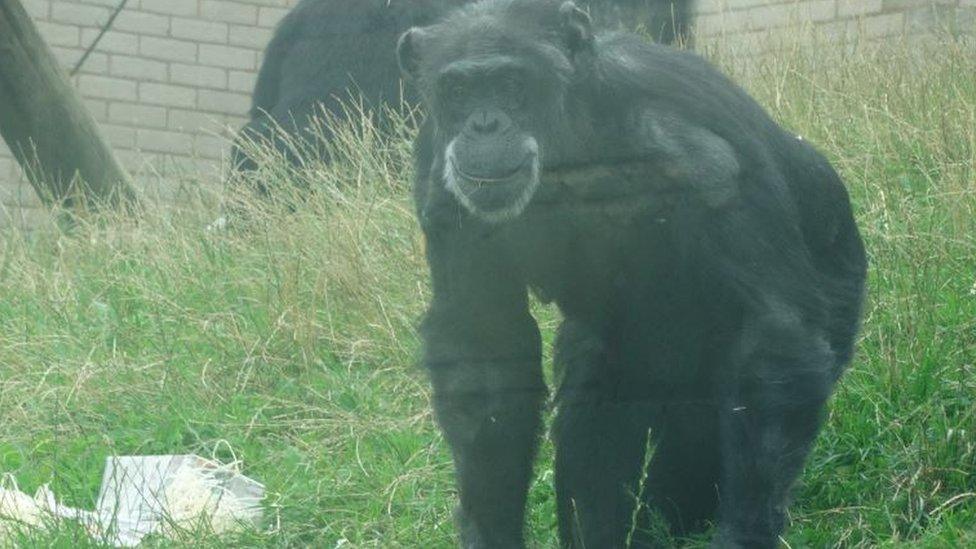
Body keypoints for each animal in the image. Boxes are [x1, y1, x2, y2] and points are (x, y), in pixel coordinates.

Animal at [392, 1, 864, 548]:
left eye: (511, 84)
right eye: (459, 91)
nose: (484, 124)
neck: (569, 147)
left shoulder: (706, 162)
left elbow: (776, 328)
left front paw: (744, 533)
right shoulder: (440, 184)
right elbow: (484, 354)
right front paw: (489, 530)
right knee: (596, 420)